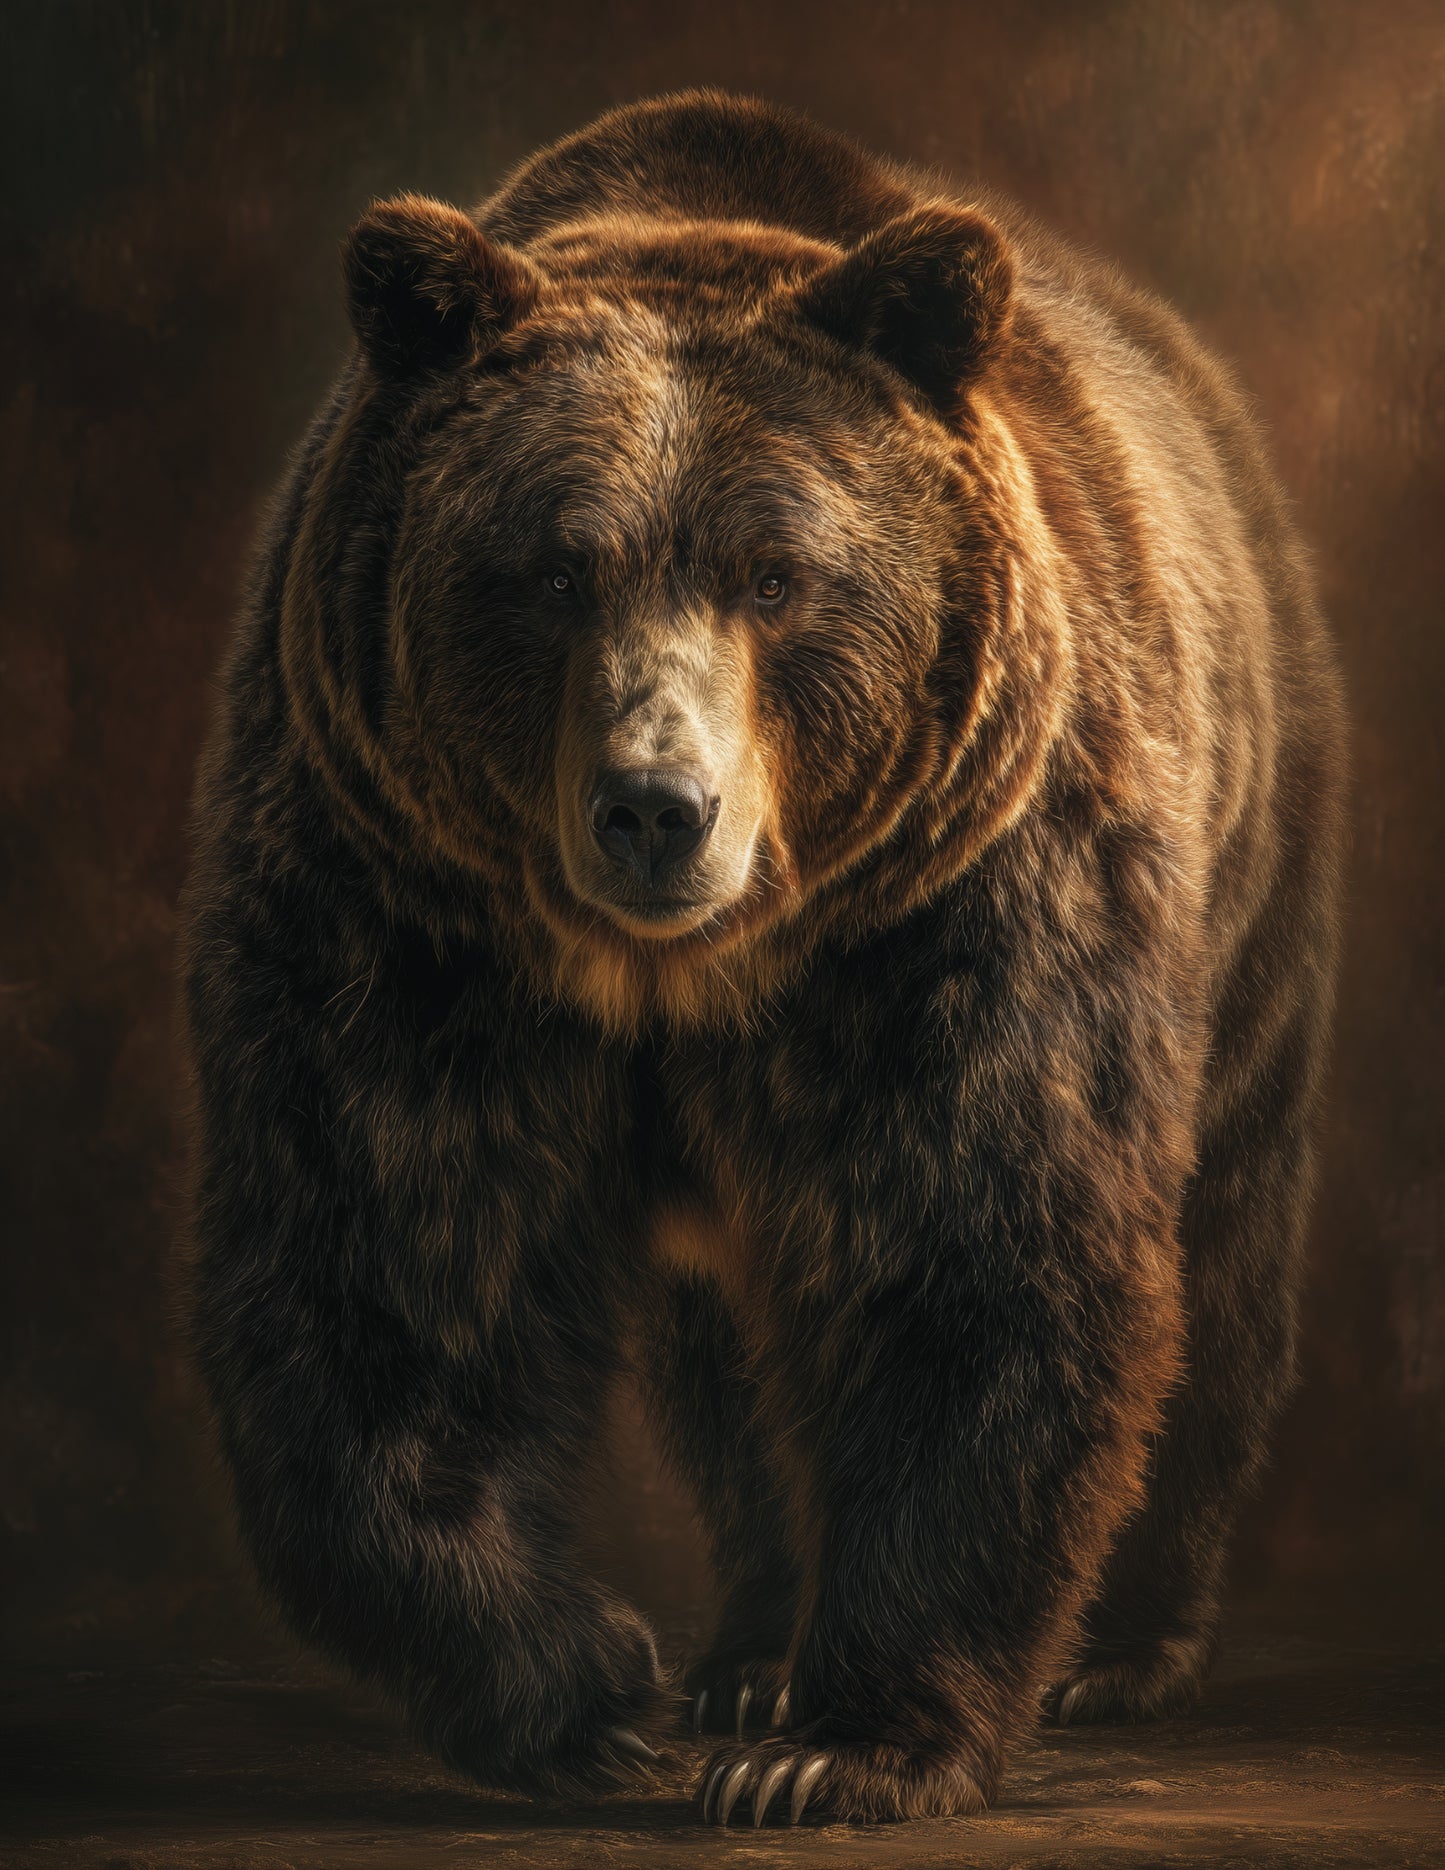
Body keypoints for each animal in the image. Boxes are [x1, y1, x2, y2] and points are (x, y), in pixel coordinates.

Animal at [180, 89, 1346, 1825]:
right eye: (550, 568)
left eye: (779, 575)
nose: (657, 808)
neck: (679, 974)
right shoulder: (400, 901)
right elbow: (394, 1253)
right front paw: (586, 1688)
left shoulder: (957, 904)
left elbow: (979, 1245)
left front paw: (833, 1746)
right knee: (720, 1363)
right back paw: (745, 1641)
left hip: (1251, 882)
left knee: (1222, 1246)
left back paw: (1117, 1645)